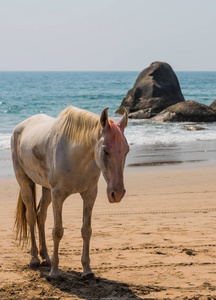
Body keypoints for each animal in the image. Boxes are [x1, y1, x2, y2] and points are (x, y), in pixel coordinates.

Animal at [11, 105, 128, 278]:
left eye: (127, 150)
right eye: (106, 151)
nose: (117, 193)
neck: (76, 157)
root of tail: (19, 127)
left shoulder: (89, 194)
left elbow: (86, 230)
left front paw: (87, 270)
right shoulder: (58, 195)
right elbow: (57, 231)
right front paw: (54, 273)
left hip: (46, 189)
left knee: (41, 216)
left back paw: (45, 257)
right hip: (24, 182)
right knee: (31, 216)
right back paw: (34, 259)